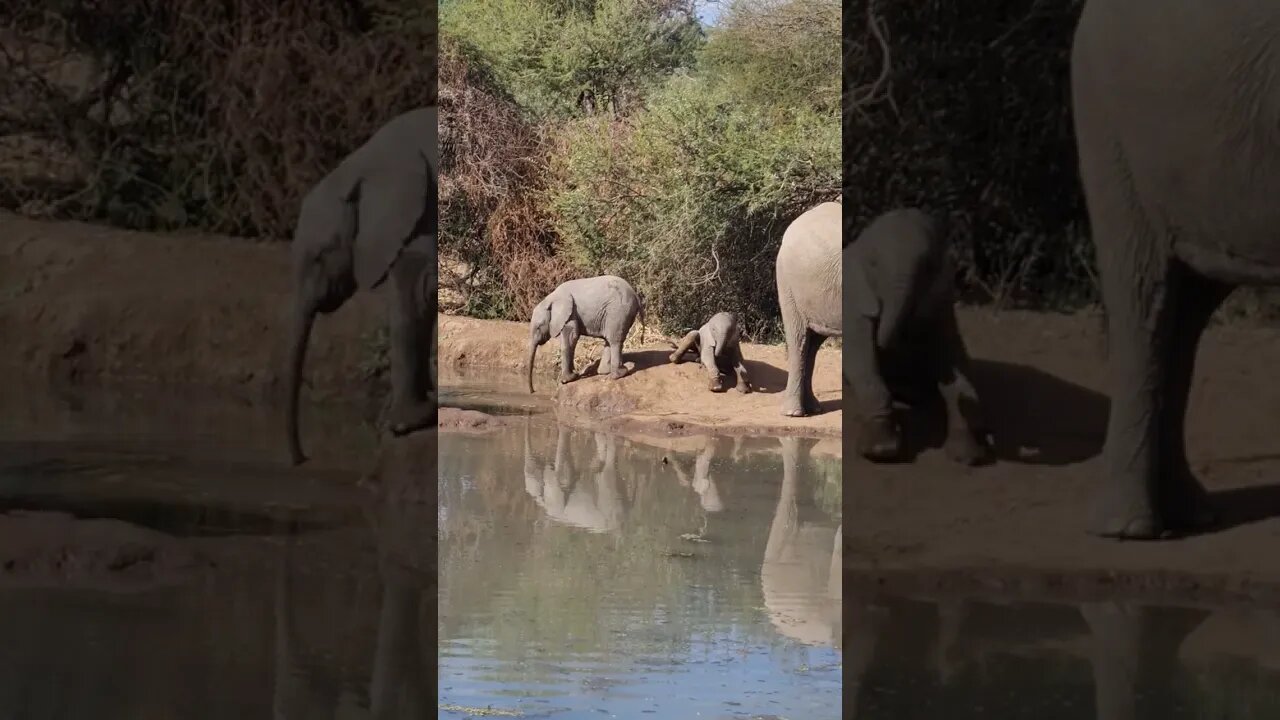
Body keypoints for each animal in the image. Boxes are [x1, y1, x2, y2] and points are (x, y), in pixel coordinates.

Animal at [282, 106, 437, 466]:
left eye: (320, 256)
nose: (303, 459)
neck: (359, 166)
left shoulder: (425, 210)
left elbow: (417, 290)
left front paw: (408, 421)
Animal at [844, 207, 993, 466]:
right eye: (873, 265)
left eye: (928, 267)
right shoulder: (853, 298)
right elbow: (860, 357)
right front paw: (881, 451)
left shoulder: (941, 301)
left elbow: (953, 357)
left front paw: (968, 454)